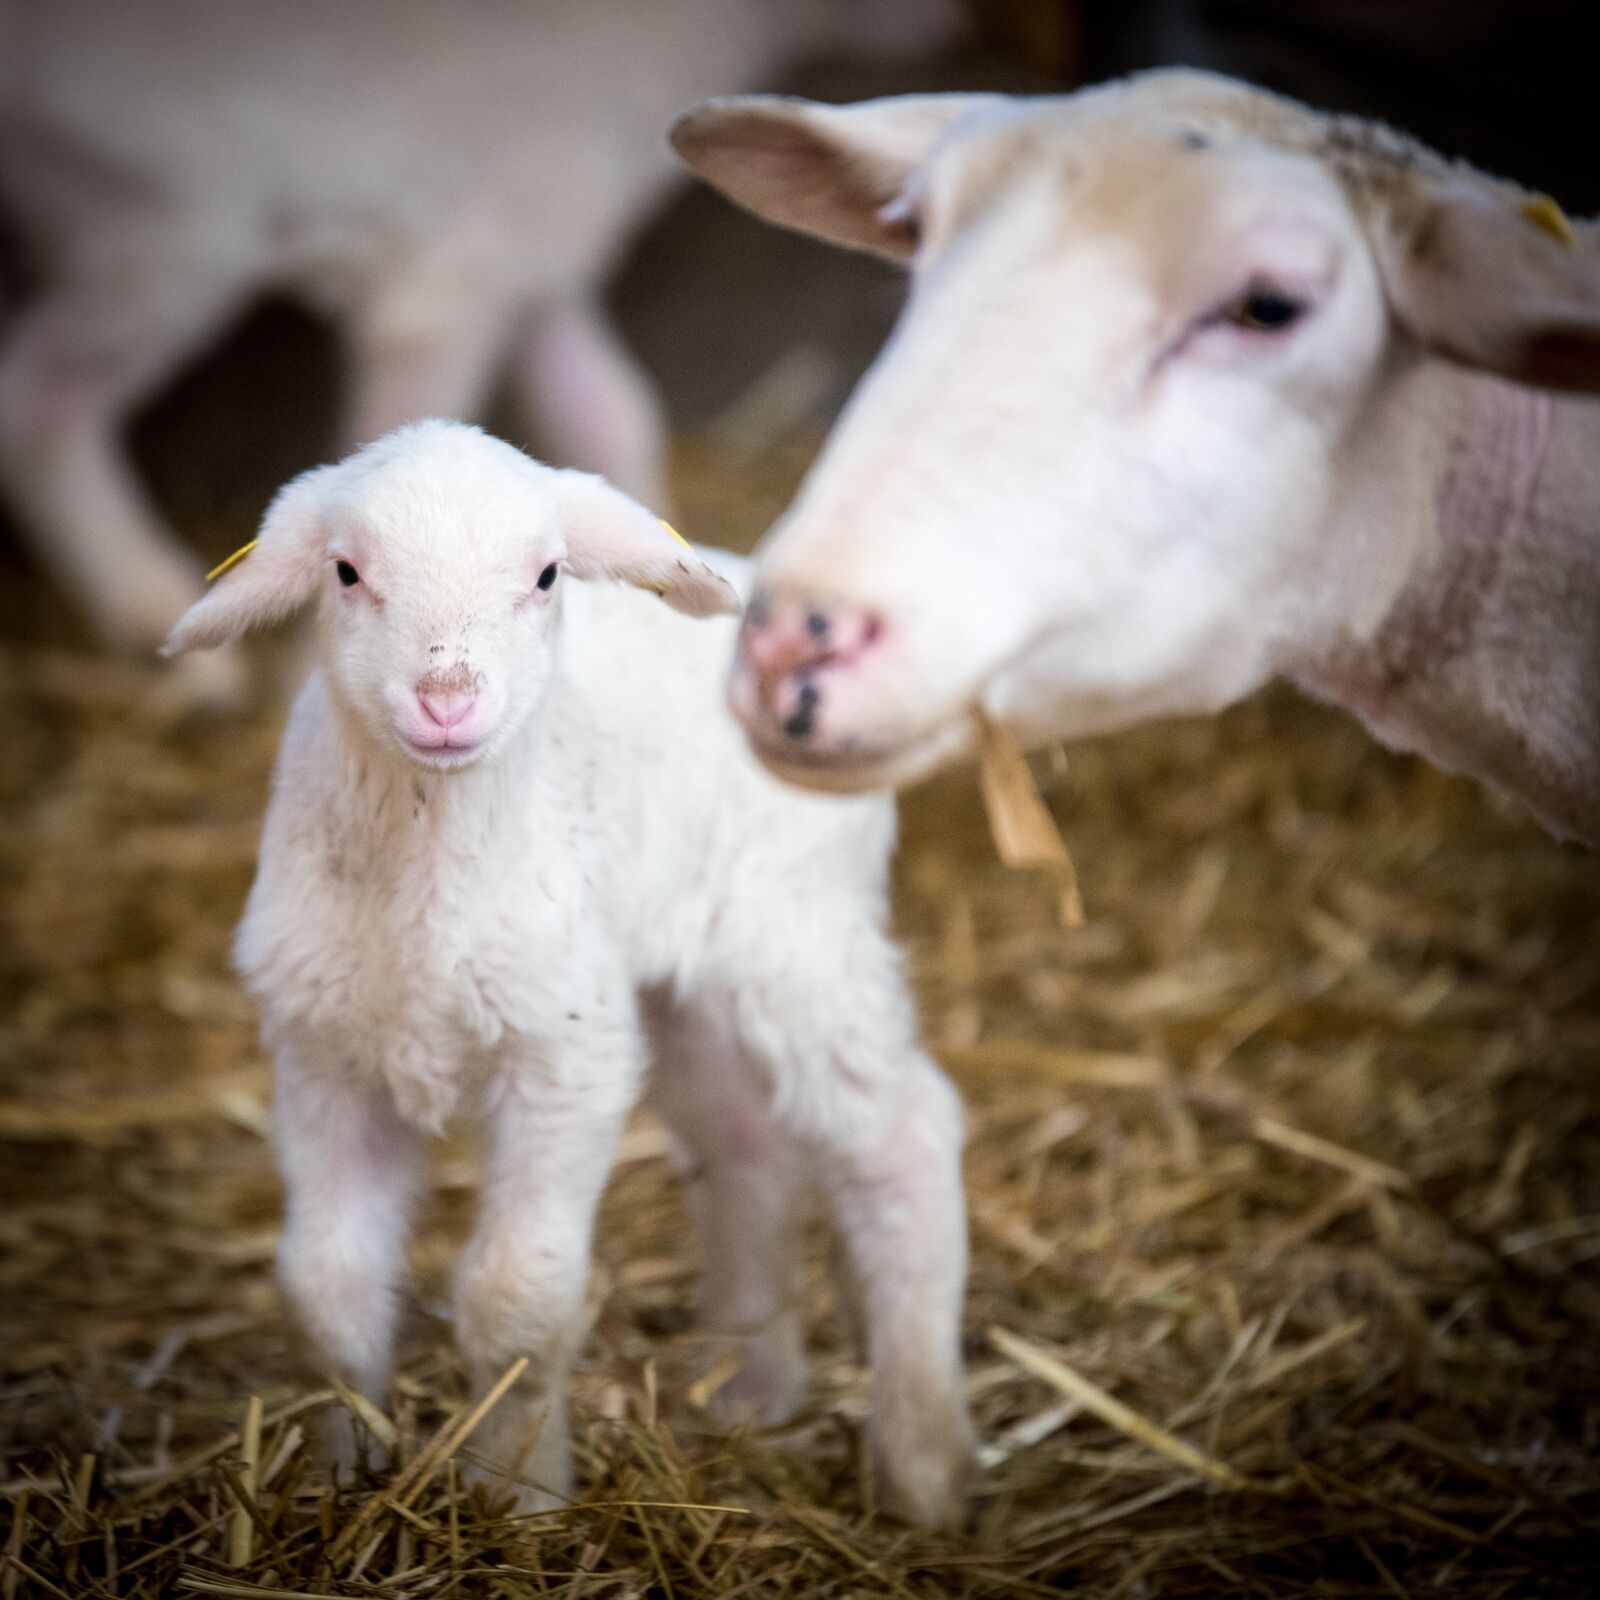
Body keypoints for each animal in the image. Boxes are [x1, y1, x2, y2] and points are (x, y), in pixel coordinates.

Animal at [0, 0, 960, 703]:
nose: (947, 22)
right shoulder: (448, 279)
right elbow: (401, 435)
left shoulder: (533, 252)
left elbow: (606, 410)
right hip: (162, 229)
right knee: (40, 398)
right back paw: (160, 622)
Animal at [161, 420, 975, 1528]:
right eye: (346, 572)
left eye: (546, 575)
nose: (447, 699)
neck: (430, 884)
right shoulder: (321, 1053)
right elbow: (323, 1291)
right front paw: (334, 1479)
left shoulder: (564, 1054)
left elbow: (519, 1296)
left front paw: (518, 1496)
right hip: (672, 988)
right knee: (747, 1143)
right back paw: (751, 1386)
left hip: (792, 930)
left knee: (905, 1133)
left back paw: (924, 1466)